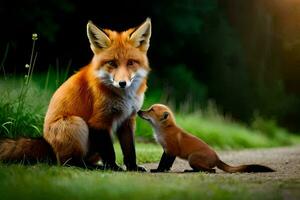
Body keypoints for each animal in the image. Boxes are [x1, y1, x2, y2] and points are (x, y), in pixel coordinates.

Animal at [0, 18, 151, 170]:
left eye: (131, 62)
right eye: (112, 63)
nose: (122, 83)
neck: (125, 97)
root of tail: (47, 143)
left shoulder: (128, 120)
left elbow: (130, 150)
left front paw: (133, 167)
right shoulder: (99, 122)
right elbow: (109, 153)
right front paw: (113, 167)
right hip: (77, 123)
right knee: (70, 162)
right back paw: (92, 167)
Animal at [138, 104, 274, 173]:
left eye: (151, 110)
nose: (139, 111)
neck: (163, 130)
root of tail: (217, 158)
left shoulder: (171, 150)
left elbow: (165, 164)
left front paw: (160, 171)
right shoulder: (166, 150)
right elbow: (163, 162)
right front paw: (162, 169)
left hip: (192, 158)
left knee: (212, 170)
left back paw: (190, 171)